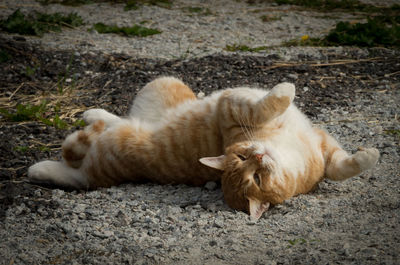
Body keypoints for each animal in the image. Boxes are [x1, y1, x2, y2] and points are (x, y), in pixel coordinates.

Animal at [28, 76, 382, 219]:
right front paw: (285, 91)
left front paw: (367, 156)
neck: (286, 149)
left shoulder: (323, 145)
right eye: (241, 157)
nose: (259, 154)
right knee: (80, 147)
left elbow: (342, 166)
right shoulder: (232, 110)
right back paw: (91, 118)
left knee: (74, 170)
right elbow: (265, 104)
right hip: (163, 84)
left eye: (257, 178)